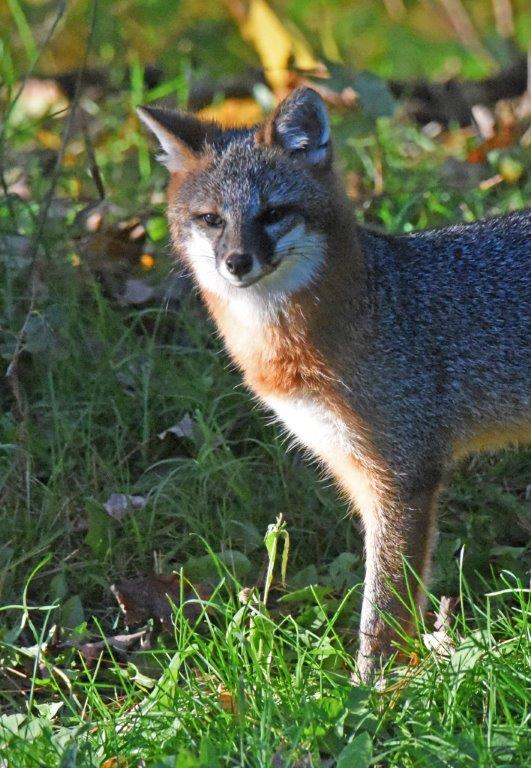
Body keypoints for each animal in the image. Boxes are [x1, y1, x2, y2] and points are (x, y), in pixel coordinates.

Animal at [138, 87, 531, 681]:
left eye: (273, 214)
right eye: (211, 220)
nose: (236, 262)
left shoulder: (404, 475)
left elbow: (383, 607)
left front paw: (374, 688)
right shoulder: (355, 471)